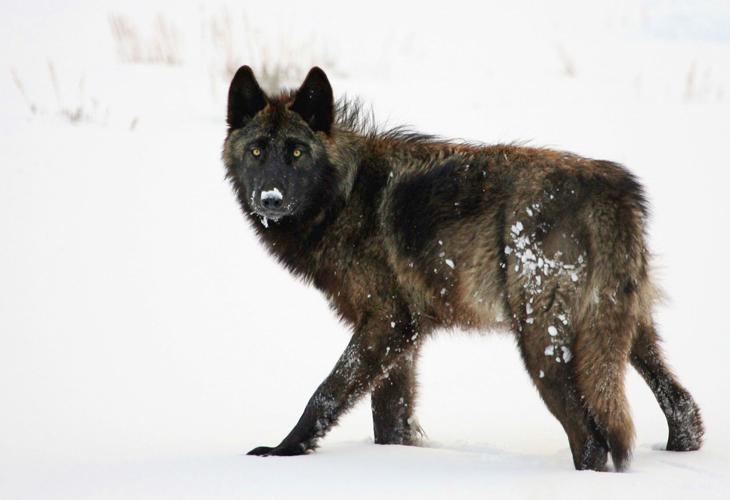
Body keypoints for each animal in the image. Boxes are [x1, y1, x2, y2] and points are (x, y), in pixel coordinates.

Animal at [221, 66, 703, 471]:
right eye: (257, 151)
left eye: (297, 152)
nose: (270, 198)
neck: (344, 195)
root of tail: (611, 189)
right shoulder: (404, 338)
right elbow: (389, 421)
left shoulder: (386, 323)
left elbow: (326, 394)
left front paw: (281, 452)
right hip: (626, 332)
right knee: (683, 407)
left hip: (541, 345)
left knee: (592, 439)